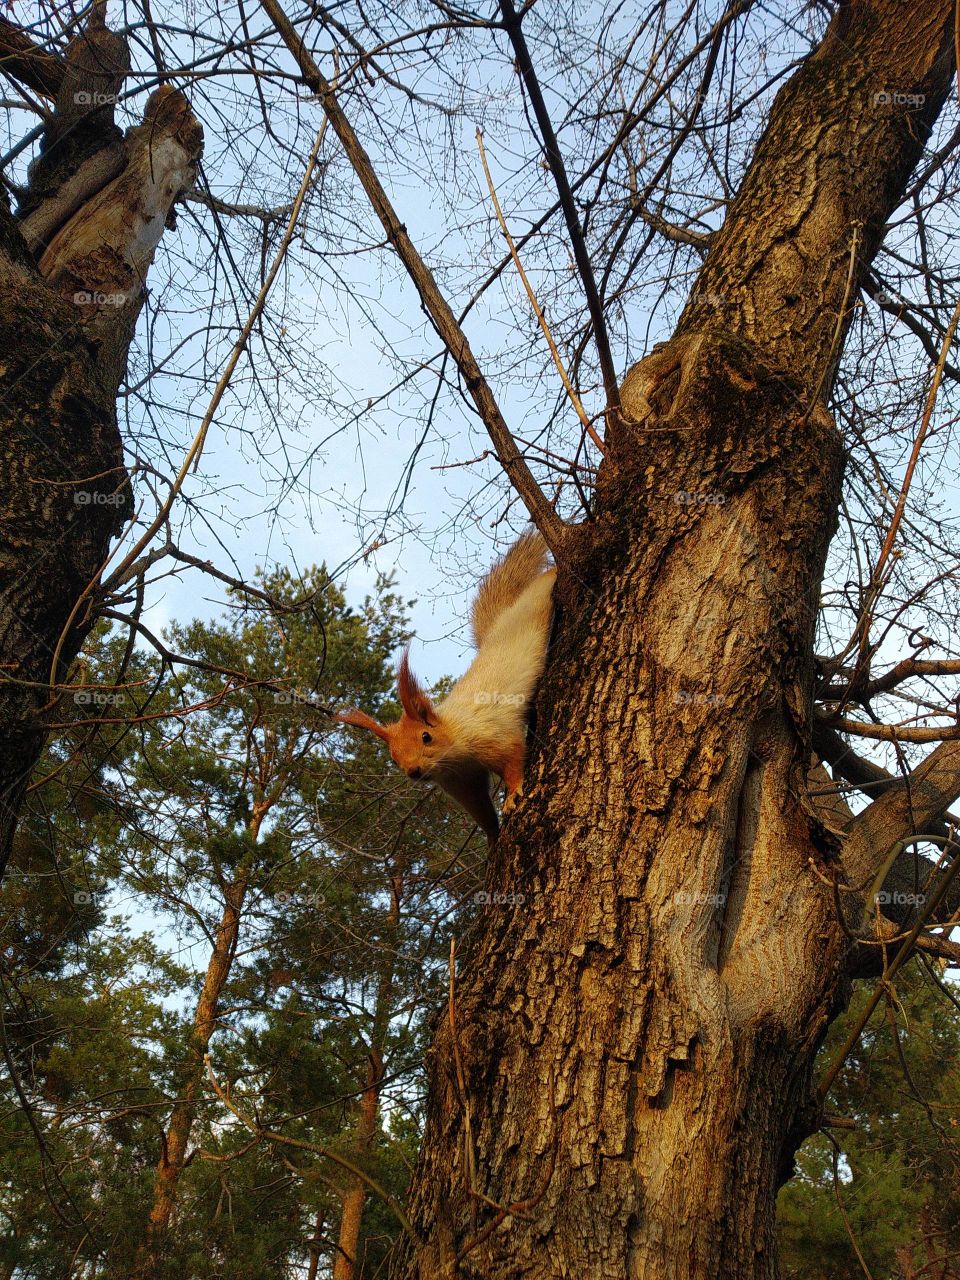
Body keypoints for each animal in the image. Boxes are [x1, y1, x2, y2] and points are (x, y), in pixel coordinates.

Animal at [336, 530, 556, 844]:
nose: (414, 771)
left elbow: (513, 758)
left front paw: (514, 794)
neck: (454, 745)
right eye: (393, 757)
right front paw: (492, 836)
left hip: (539, 599)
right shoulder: (461, 781)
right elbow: (479, 807)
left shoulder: (493, 735)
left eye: (426, 737)